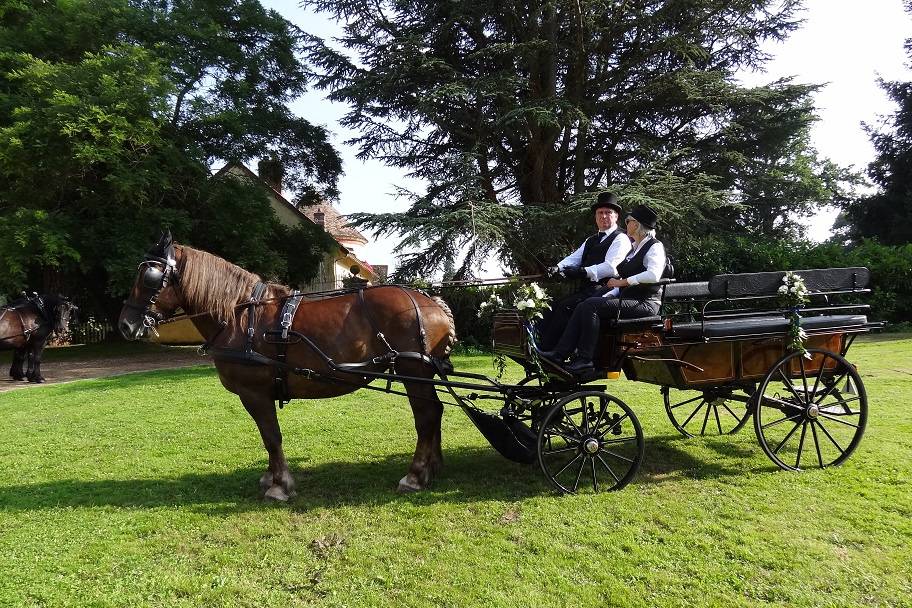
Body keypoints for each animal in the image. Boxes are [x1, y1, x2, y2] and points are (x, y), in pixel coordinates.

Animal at [117, 232, 456, 498]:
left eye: (148, 276)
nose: (125, 325)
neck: (239, 316)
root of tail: (430, 301)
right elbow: (267, 437)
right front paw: (270, 477)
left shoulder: (255, 393)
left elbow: (271, 436)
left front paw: (280, 485)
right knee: (436, 411)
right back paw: (433, 467)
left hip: (413, 371)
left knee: (426, 416)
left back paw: (415, 475)